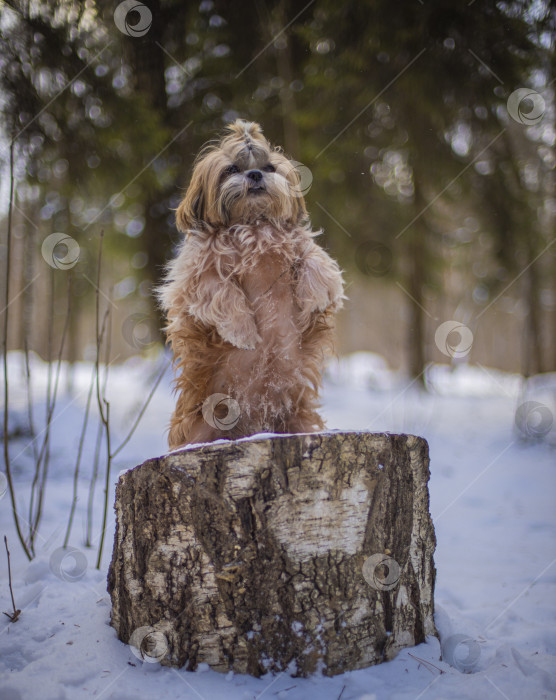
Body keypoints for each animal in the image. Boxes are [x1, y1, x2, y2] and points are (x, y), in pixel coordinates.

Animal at [156, 119, 346, 448]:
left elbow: (316, 262)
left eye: (269, 167)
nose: (255, 174)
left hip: (297, 412)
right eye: (232, 169)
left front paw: (313, 295)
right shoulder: (193, 277)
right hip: (200, 421)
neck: (254, 223)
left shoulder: (302, 247)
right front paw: (243, 331)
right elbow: (217, 289)